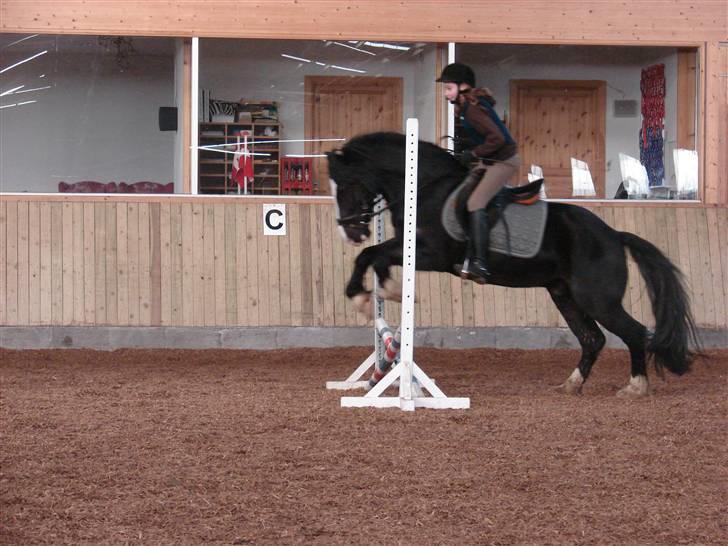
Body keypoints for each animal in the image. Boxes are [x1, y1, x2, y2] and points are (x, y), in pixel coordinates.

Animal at [328, 132, 700, 396]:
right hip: (564, 295)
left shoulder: (432, 253)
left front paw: (363, 296)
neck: (425, 187)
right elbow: (374, 256)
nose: (350, 231)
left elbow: (371, 255)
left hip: (597, 298)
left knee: (634, 332)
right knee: (592, 339)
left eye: (346, 185)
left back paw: (635, 386)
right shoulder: (411, 249)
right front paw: (382, 292)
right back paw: (571, 384)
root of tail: (614, 234)